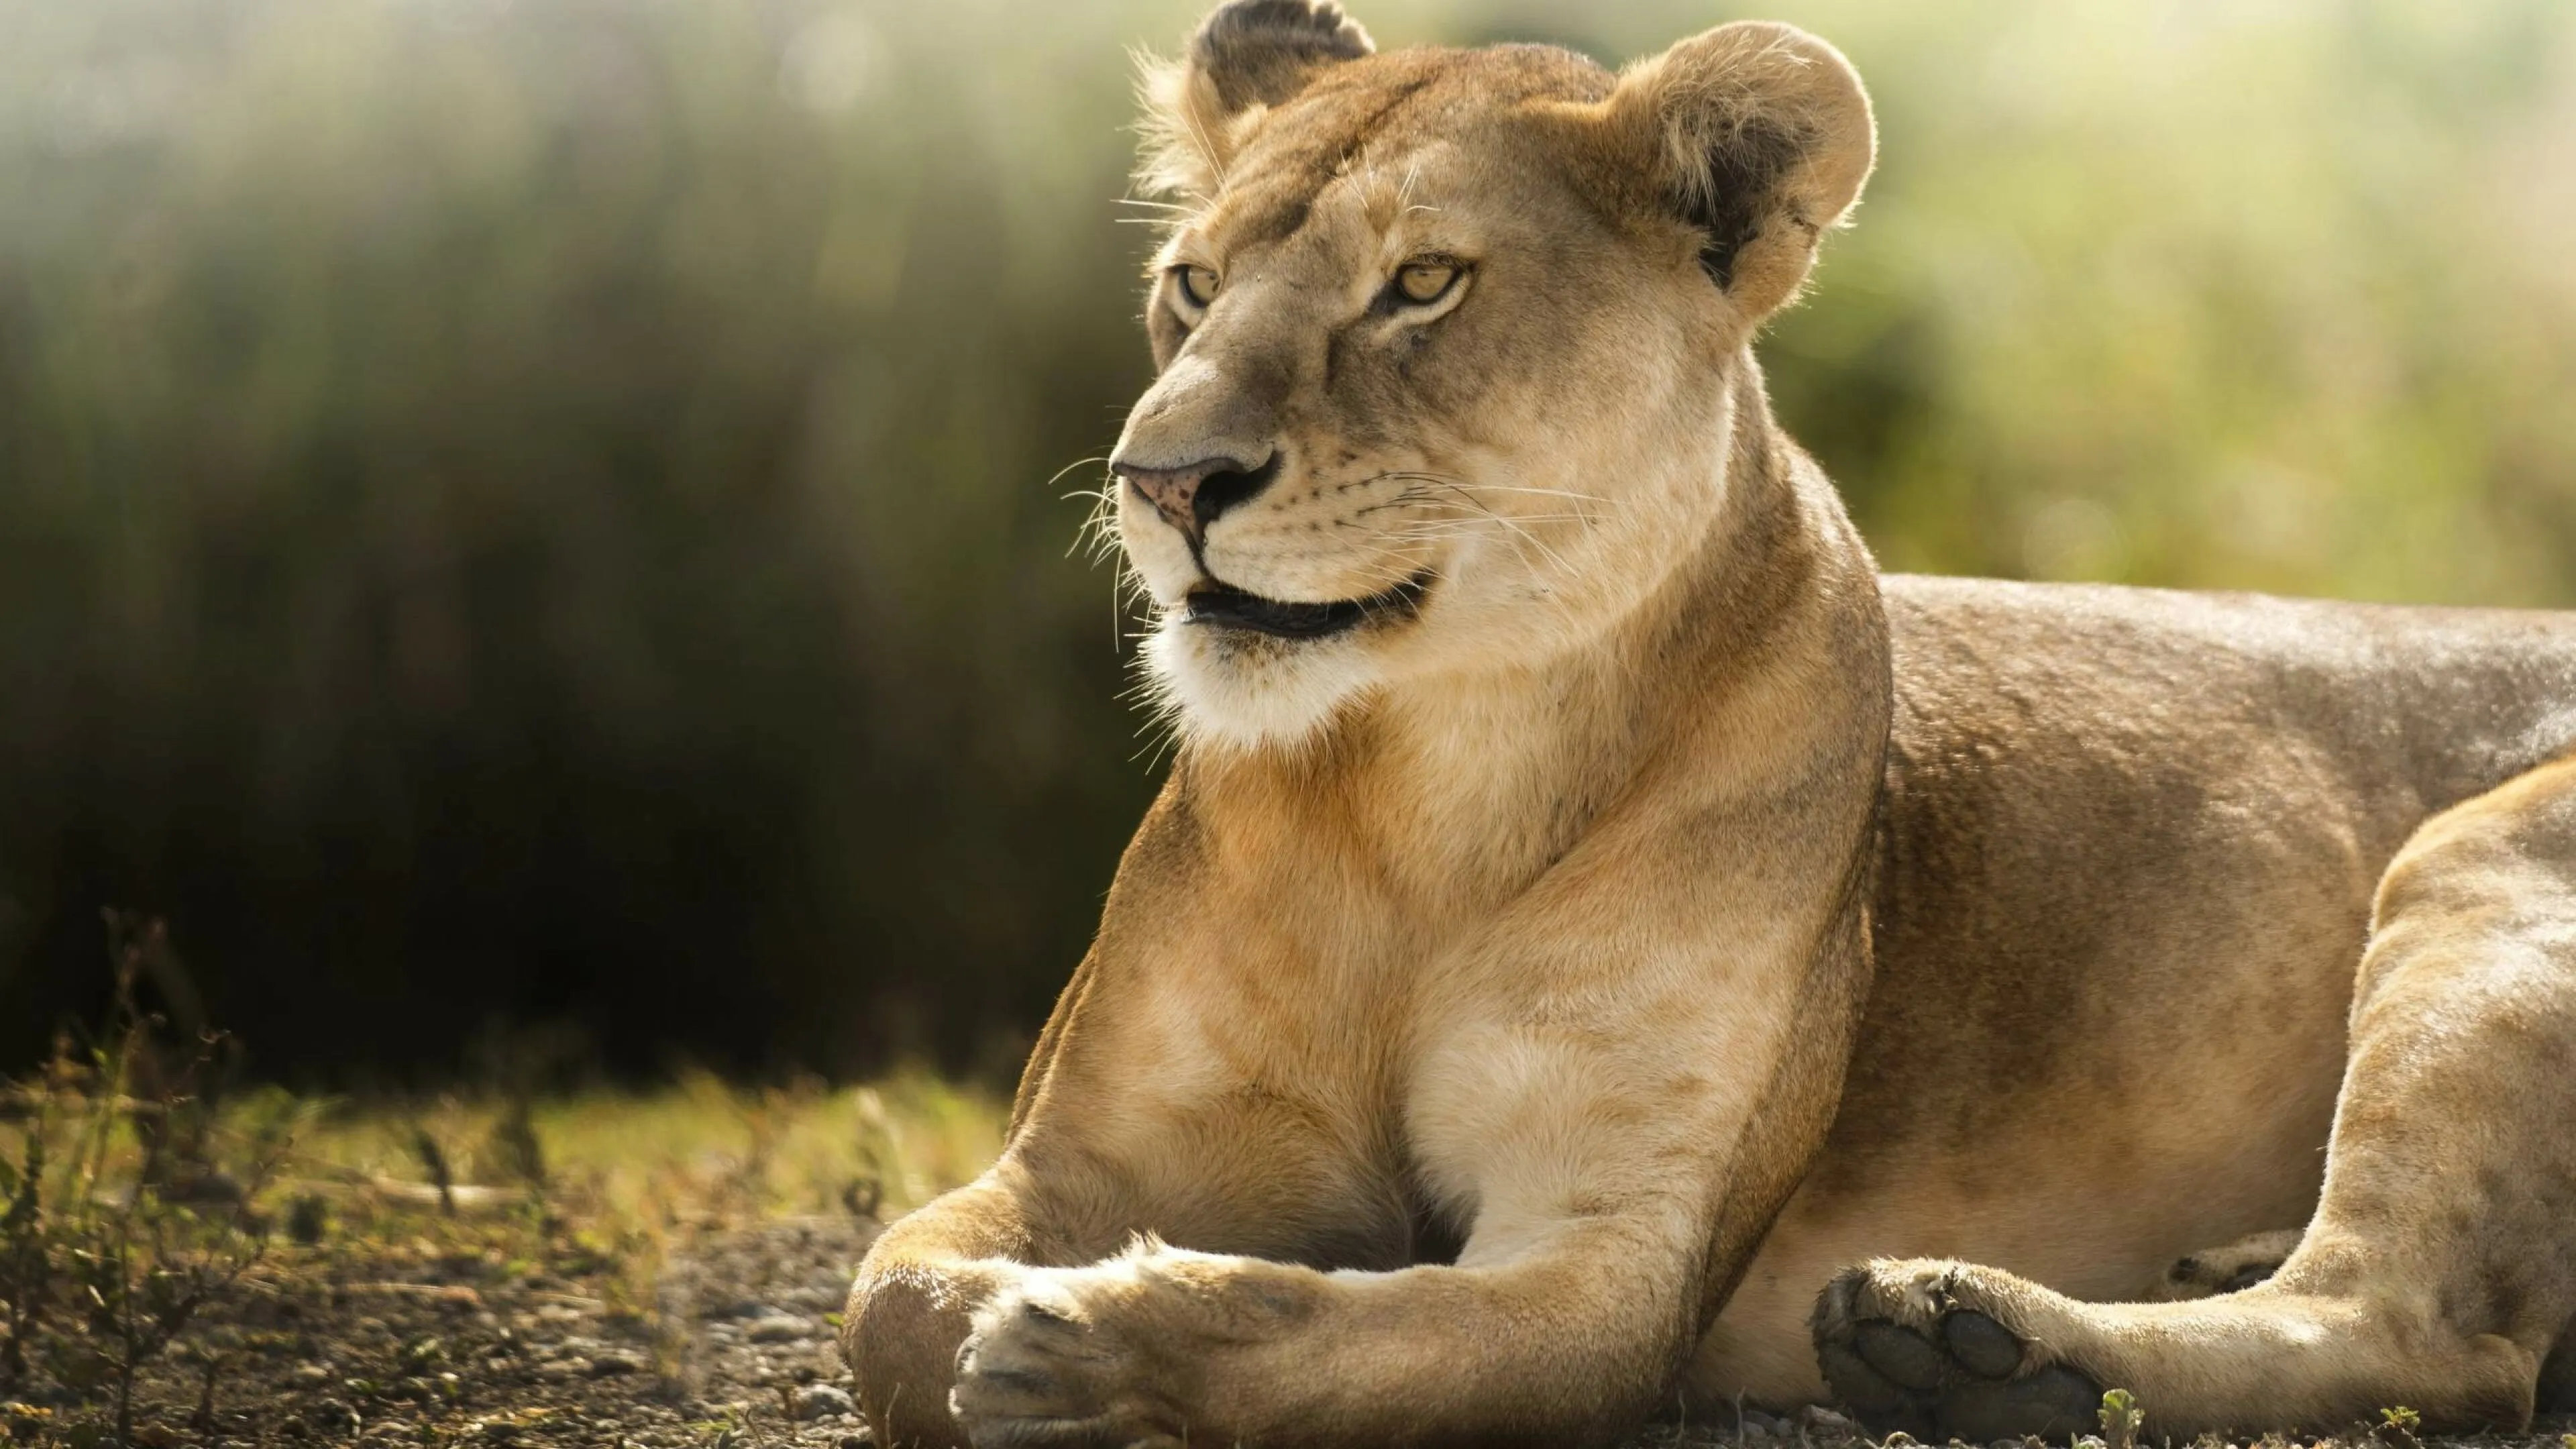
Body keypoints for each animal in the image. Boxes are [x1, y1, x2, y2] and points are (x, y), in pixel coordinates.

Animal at [840, 3, 2576, 1443]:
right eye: (1189, 285)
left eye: (1422, 283)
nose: (1159, 480)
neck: (1428, 789)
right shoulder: (1075, 1159)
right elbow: (891, 1302)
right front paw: (1025, 1323)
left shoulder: (1617, 1260)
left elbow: (1343, 1337)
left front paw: (1090, 1350)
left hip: (2474, 867)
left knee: (2422, 1336)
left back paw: (1968, 1342)